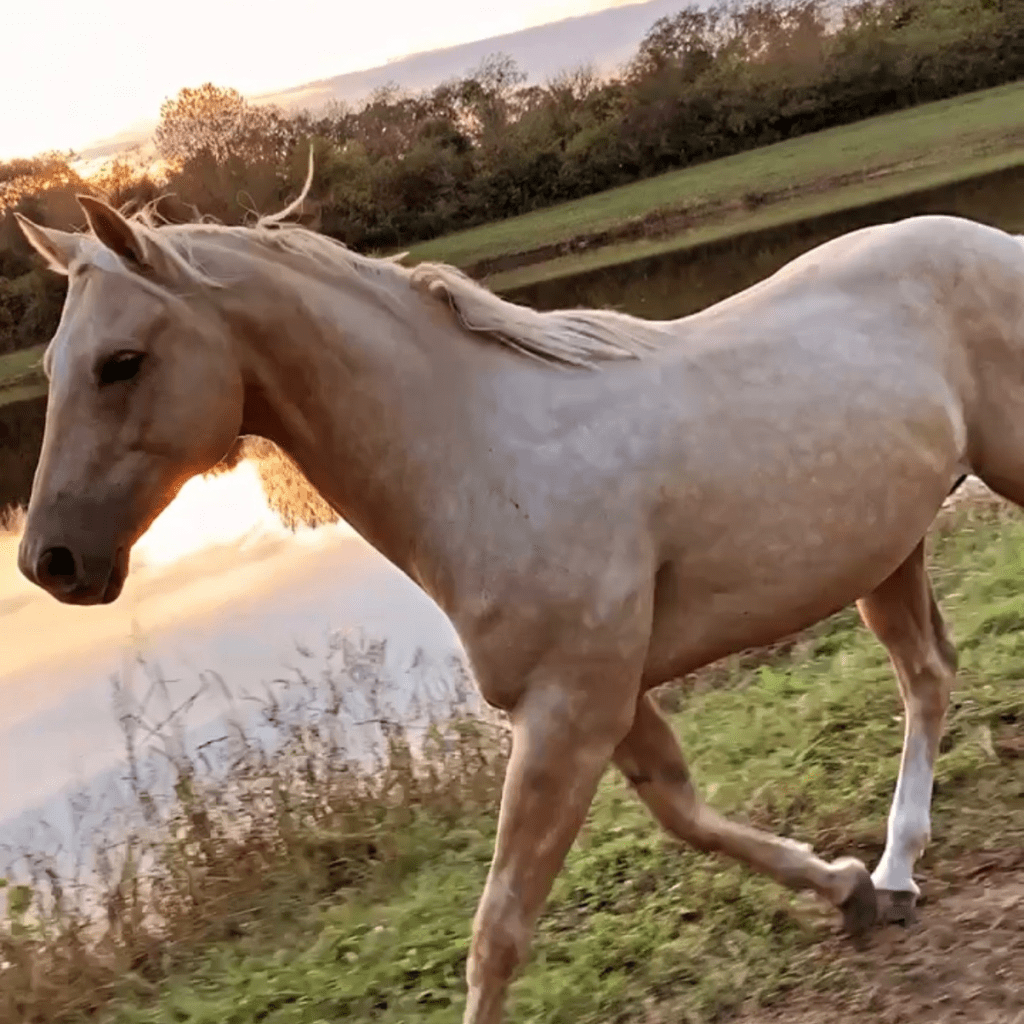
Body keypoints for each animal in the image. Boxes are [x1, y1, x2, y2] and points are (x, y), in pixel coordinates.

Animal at [13, 161, 1024, 1023]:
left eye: (122, 361)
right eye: (57, 365)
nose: (49, 561)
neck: (485, 455)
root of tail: (988, 239)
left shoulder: (569, 709)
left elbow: (498, 929)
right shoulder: (599, 699)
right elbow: (685, 813)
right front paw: (846, 890)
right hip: (885, 556)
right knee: (927, 675)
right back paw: (894, 874)